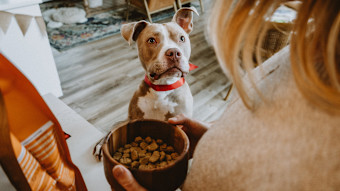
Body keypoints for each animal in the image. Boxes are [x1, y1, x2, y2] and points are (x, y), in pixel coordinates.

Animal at [93, 7, 199, 159]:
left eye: (182, 38)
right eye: (151, 40)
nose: (174, 52)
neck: (162, 88)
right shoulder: (133, 118)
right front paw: (102, 144)